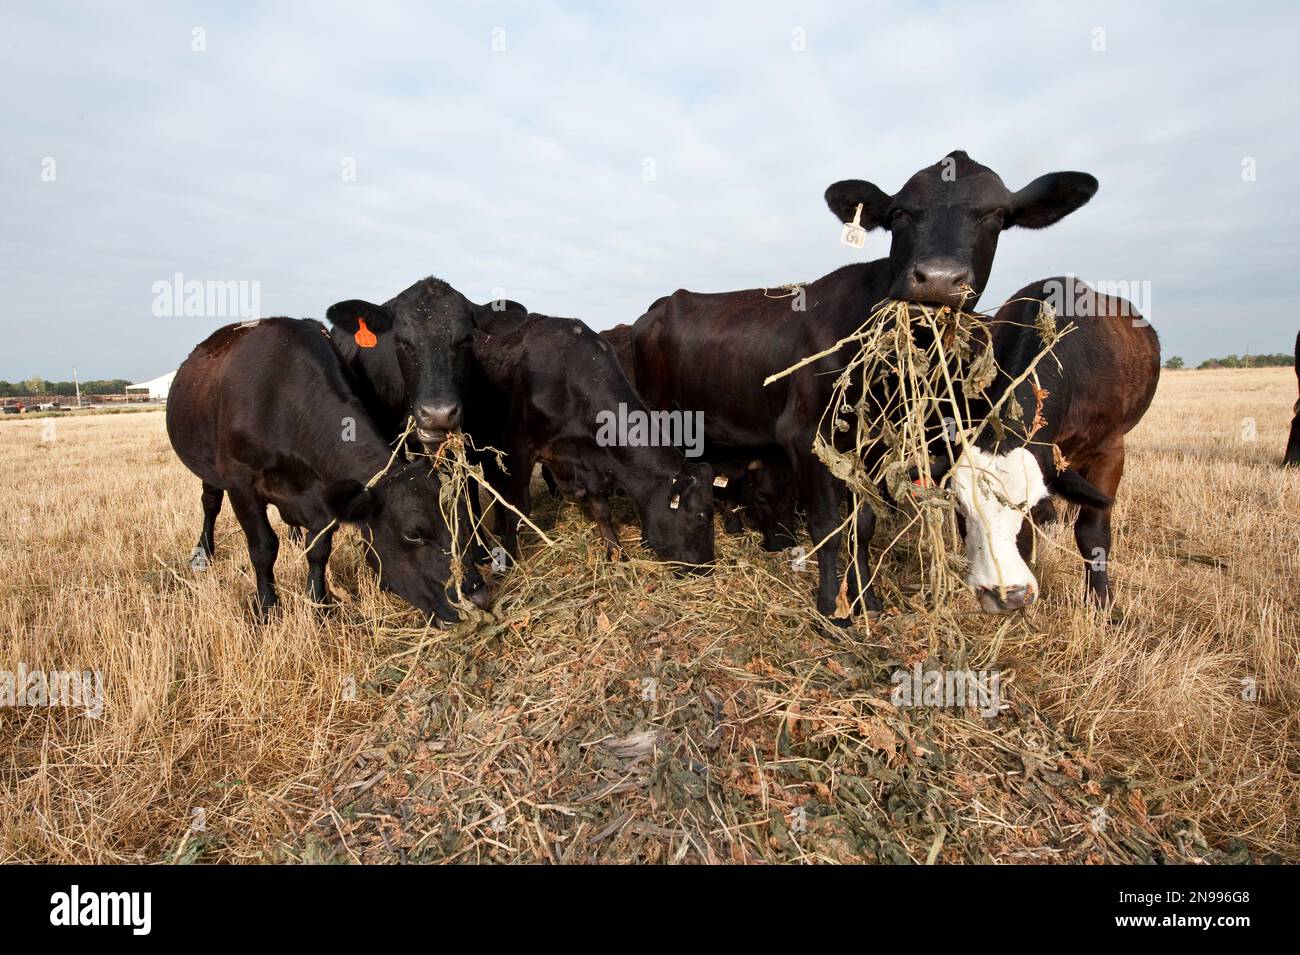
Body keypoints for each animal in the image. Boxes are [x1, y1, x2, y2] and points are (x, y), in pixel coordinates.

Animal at [166, 318, 489, 624]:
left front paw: (319, 605)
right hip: (208, 467)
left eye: (462, 521)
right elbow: (263, 547)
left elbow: (319, 549)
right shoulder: (241, 482)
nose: (478, 596)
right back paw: (203, 554)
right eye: (412, 535)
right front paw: (267, 608)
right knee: (210, 504)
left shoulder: (326, 494)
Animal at [470, 311, 715, 567]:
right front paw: (507, 558)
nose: (707, 566)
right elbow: (518, 508)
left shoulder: (593, 463)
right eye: (701, 516)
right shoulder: (519, 448)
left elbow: (602, 510)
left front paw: (615, 552)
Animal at [632, 151, 1098, 620]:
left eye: (997, 215)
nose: (939, 278)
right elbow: (827, 525)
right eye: (900, 214)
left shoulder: (874, 446)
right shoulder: (806, 436)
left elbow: (864, 525)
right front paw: (829, 607)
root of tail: (657, 308)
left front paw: (866, 600)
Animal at [930, 277, 1160, 611]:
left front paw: (1100, 601)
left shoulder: (1110, 451)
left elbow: (1093, 531)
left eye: (1032, 508)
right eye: (960, 508)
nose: (1004, 596)